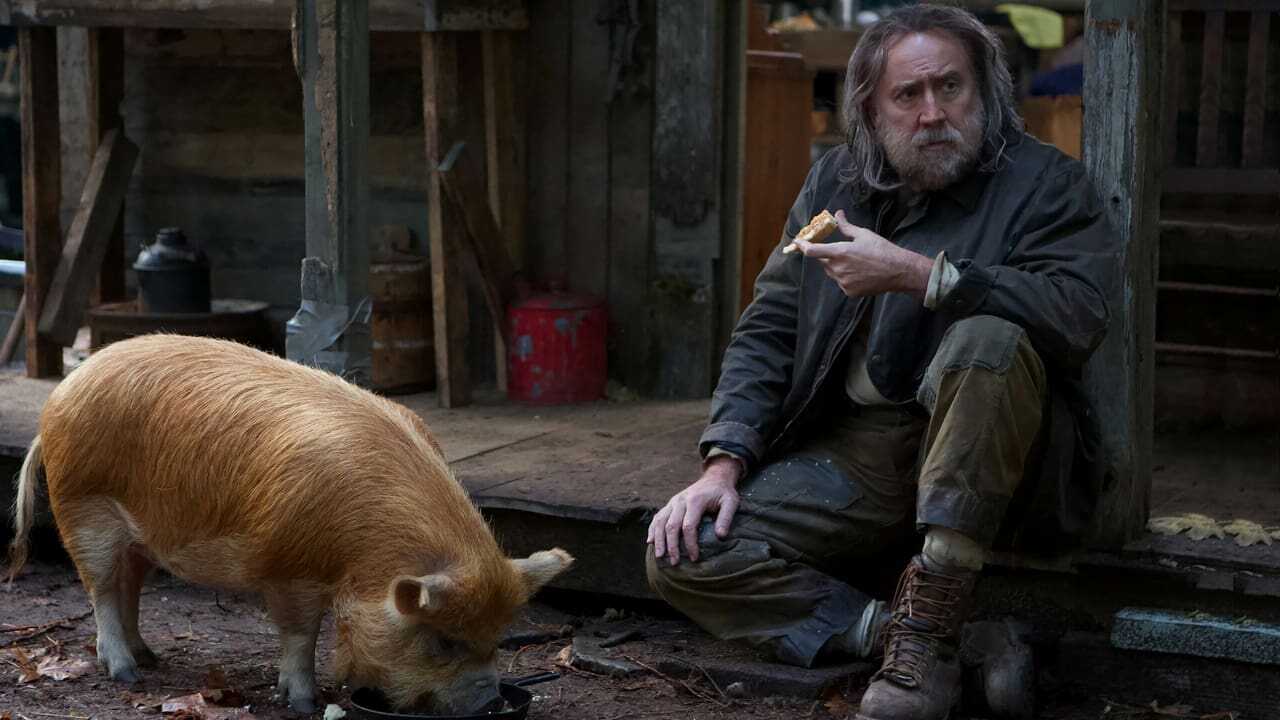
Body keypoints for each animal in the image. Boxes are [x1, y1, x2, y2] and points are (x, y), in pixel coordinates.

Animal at [6, 334, 573, 714]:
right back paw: (126, 675)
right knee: (101, 589)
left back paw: (151, 660)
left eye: (497, 637)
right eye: (444, 640)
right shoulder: (287, 567)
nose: (488, 703)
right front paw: (302, 702)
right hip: (84, 509)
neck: (363, 552)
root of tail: (59, 396)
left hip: (138, 537)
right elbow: (301, 634)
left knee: (129, 587)